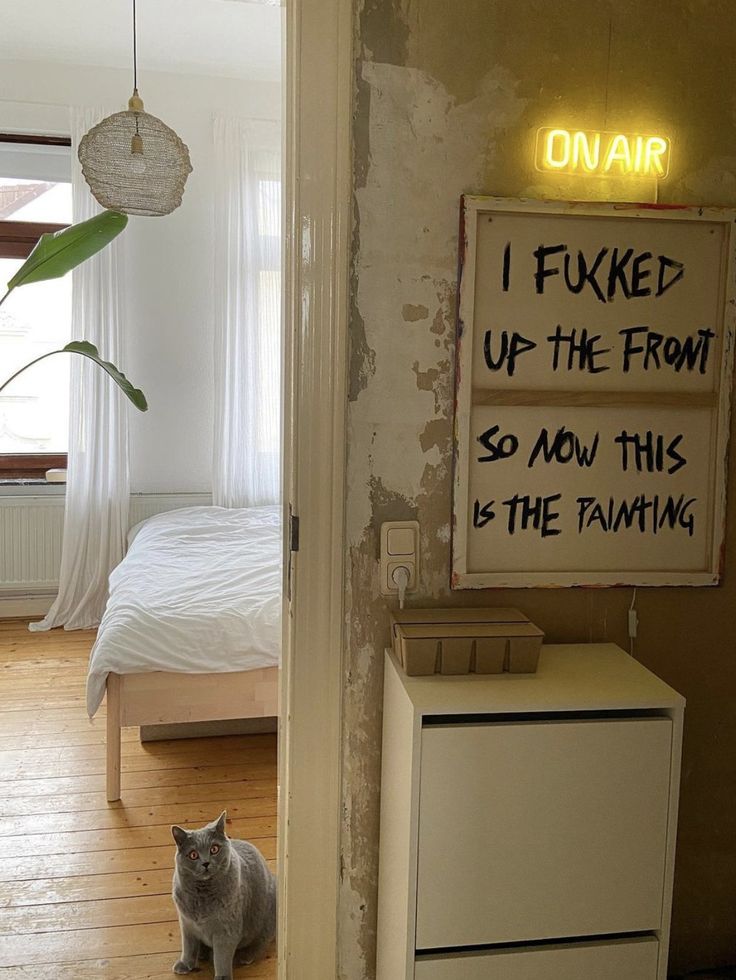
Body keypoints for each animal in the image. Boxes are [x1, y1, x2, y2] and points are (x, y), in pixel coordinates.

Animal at [171, 812, 278, 980]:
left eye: (214, 849)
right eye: (193, 855)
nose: (206, 863)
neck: (202, 898)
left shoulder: (226, 930)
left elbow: (221, 957)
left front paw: (222, 976)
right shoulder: (186, 923)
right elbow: (188, 946)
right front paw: (185, 964)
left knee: (260, 942)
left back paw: (245, 957)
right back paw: (202, 953)